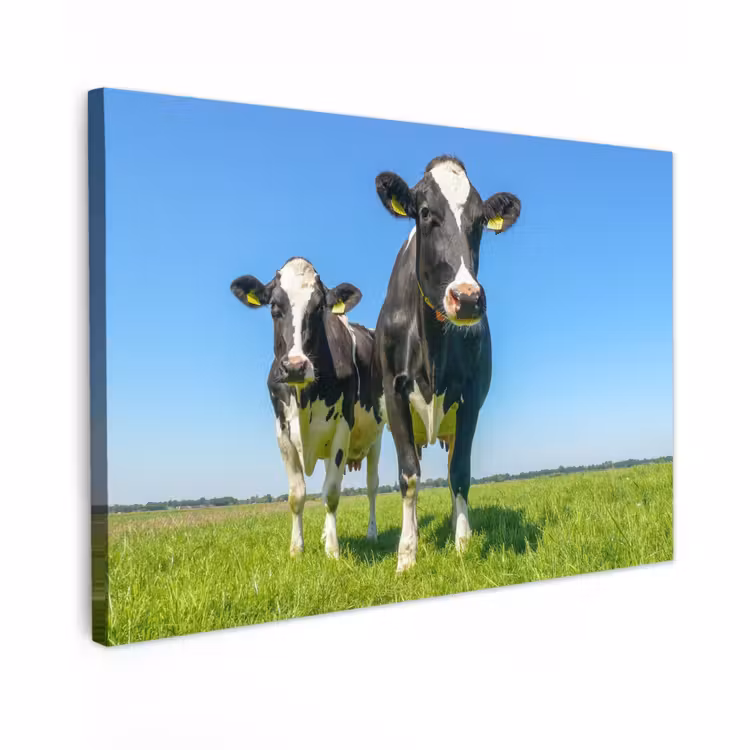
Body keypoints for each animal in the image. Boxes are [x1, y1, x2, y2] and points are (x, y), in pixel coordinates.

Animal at [230, 257, 384, 559]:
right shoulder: (282, 432)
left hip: (378, 436)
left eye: (319, 308)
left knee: (372, 487)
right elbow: (297, 495)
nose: (295, 366)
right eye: (274, 307)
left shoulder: (342, 428)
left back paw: (371, 533)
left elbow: (333, 492)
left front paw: (333, 550)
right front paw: (296, 549)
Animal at [373, 156, 521, 572]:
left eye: (480, 221)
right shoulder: (394, 393)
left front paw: (463, 544)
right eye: (425, 213)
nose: (467, 298)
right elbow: (408, 475)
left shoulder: (470, 399)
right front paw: (407, 555)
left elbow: (460, 474)